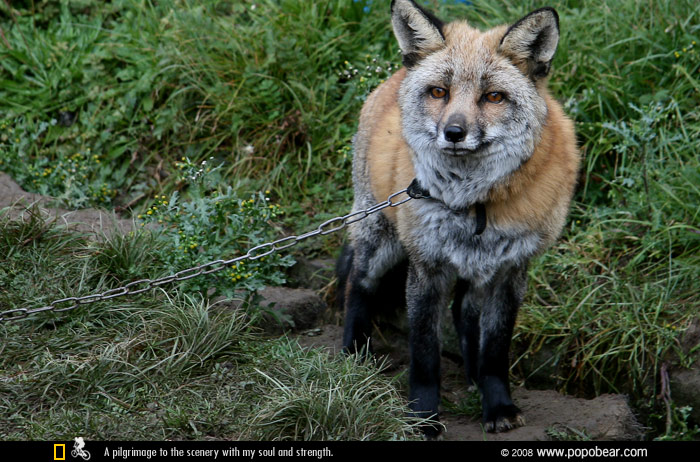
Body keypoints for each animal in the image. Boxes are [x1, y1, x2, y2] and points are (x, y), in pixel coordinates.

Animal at [338, 0, 580, 434]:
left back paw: (473, 376)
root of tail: (394, 75)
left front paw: (497, 405)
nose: (453, 132)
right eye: (439, 92)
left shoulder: (510, 270)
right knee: (358, 287)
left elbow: (496, 349)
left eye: (493, 97)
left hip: (473, 268)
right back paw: (354, 357)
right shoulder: (426, 266)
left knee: (464, 313)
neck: (473, 202)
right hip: (378, 240)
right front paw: (422, 417)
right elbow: (424, 354)